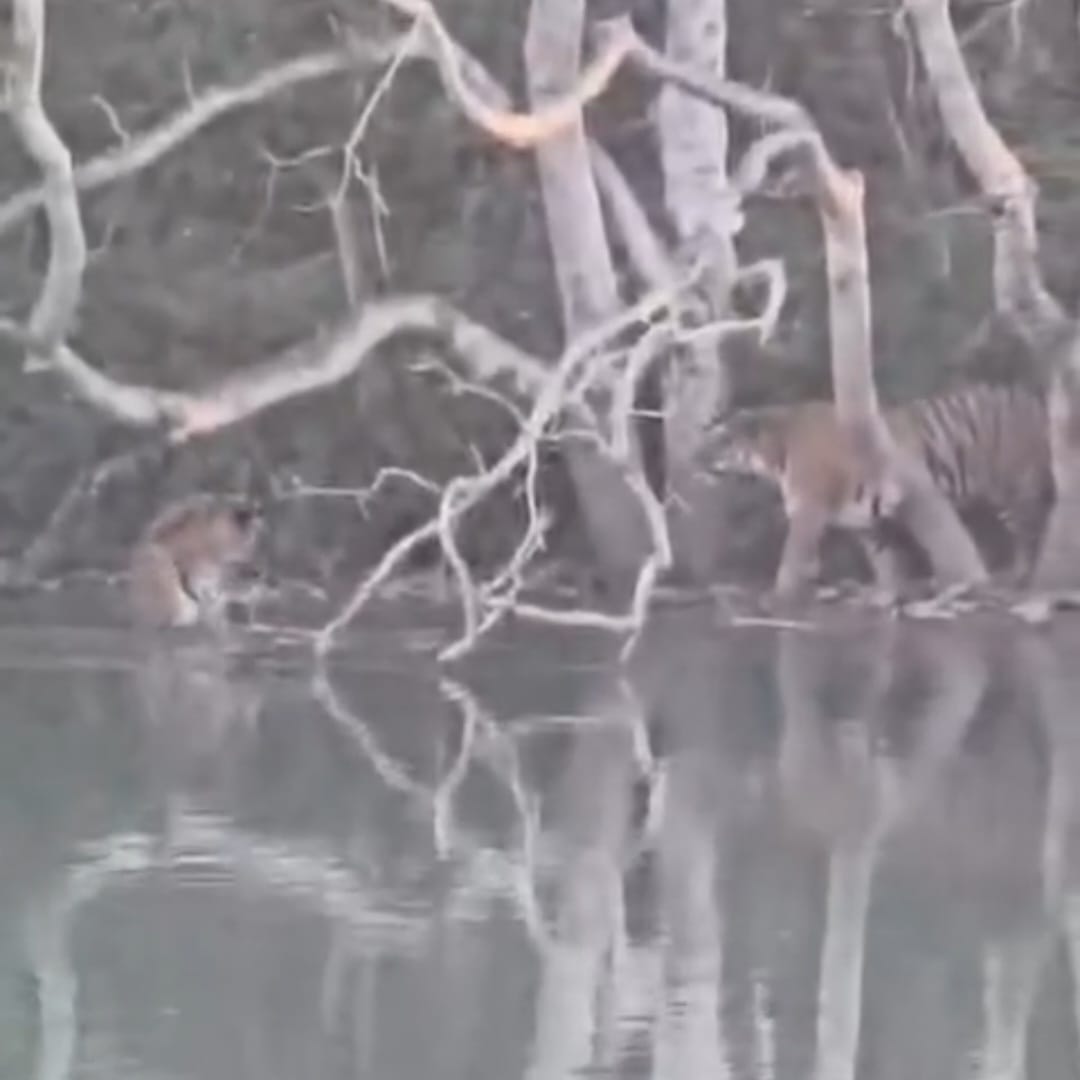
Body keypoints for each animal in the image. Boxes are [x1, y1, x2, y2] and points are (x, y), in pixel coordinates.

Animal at [702, 383, 1053, 596]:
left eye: (722, 441)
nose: (695, 458)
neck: (776, 451)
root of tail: (1033, 398)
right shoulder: (866, 522)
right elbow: (885, 564)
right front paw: (885, 595)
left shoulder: (808, 511)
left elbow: (792, 558)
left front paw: (779, 596)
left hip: (1016, 489)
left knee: (1030, 533)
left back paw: (1019, 578)